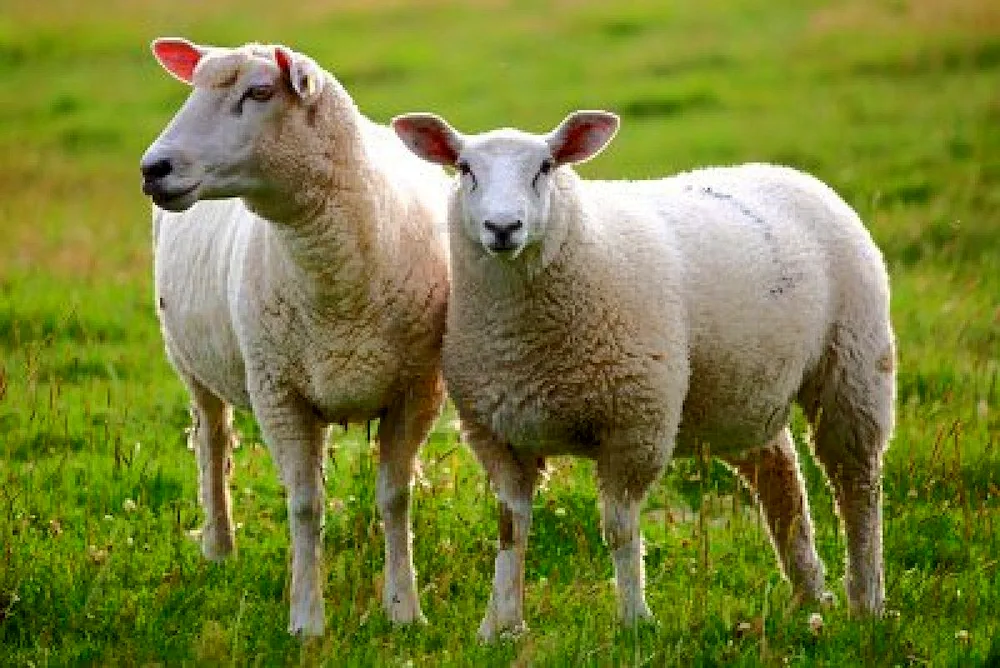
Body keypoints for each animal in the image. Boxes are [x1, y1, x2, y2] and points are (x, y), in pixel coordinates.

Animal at [139, 37, 452, 636]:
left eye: (260, 92)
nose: (153, 168)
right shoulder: (277, 392)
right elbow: (305, 505)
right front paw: (307, 618)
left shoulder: (416, 389)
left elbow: (394, 497)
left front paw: (403, 609)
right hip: (192, 363)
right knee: (212, 444)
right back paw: (219, 549)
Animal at [392, 108, 900, 636]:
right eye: (465, 168)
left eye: (546, 167)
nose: (503, 226)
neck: (522, 341)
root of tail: (790, 173)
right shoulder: (497, 434)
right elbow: (511, 531)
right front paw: (500, 626)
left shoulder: (635, 424)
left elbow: (620, 529)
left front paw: (634, 620)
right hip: (741, 391)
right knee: (779, 476)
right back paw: (809, 594)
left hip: (854, 363)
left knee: (858, 484)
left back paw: (866, 600)